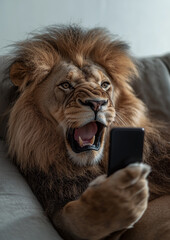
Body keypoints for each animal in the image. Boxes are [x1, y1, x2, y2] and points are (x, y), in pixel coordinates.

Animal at [5, 25, 169, 239]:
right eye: (66, 85)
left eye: (104, 85)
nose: (97, 103)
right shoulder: (55, 203)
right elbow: (77, 218)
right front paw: (117, 196)